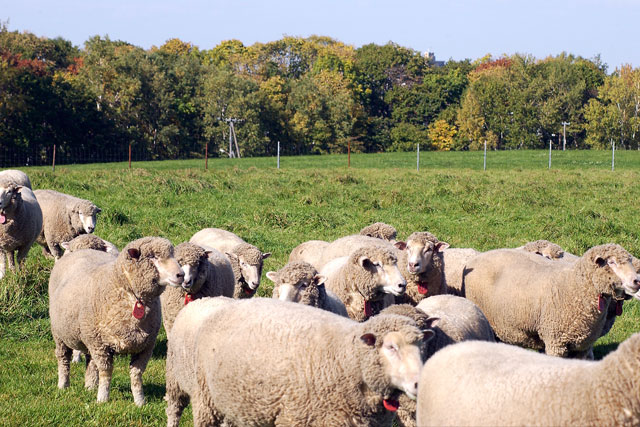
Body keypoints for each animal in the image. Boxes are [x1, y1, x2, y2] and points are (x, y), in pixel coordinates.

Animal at [48, 237, 184, 408]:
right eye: (153, 257)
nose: (181, 274)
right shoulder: (100, 345)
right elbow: (106, 372)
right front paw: (102, 398)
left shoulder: (145, 347)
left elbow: (136, 375)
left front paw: (140, 401)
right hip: (61, 334)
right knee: (63, 358)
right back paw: (63, 385)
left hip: (89, 336)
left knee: (90, 362)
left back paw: (90, 386)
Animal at [460, 244, 640, 358]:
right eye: (612, 262)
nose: (637, 281)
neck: (575, 287)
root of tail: (475, 259)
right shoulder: (556, 342)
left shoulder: (582, 346)